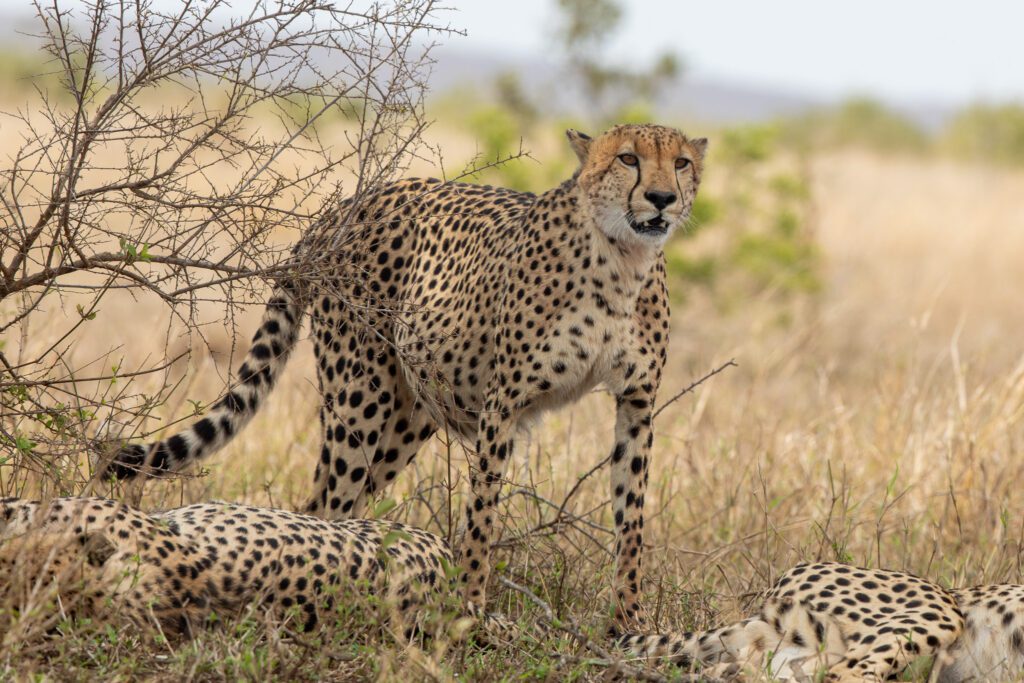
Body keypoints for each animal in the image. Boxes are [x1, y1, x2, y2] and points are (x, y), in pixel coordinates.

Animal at [108, 124, 708, 626]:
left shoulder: (636, 404)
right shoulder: (503, 403)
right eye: (628, 159)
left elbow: (631, 520)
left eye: (680, 162)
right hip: (360, 396)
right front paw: (470, 611)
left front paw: (628, 622)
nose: (661, 199)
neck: (623, 259)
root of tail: (346, 204)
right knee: (326, 507)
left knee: (336, 510)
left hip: (407, 415)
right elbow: (482, 516)